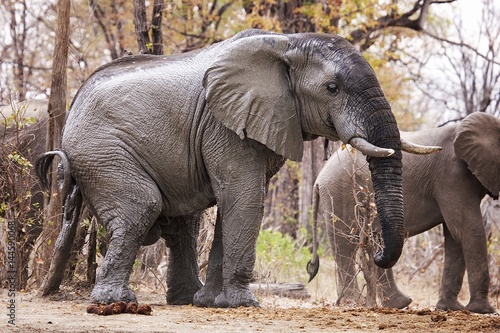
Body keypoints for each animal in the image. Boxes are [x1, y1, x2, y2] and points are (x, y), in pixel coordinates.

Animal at [35, 27, 436, 306]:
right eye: (332, 88)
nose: (380, 255)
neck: (286, 43)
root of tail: (73, 104)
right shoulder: (224, 123)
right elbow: (245, 196)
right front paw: (242, 303)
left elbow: (234, 201)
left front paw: (212, 303)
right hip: (100, 149)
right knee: (141, 206)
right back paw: (116, 302)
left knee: (183, 222)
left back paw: (185, 299)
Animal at [310, 113, 498, 312]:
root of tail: (319, 179)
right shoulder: (452, 175)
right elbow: (469, 230)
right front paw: (483, 310)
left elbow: (455, 236)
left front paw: (450, 308)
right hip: (338, 196)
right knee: (345, 246)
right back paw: (353, 303)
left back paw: (398, 303)